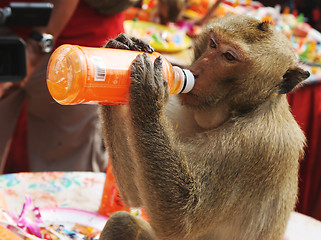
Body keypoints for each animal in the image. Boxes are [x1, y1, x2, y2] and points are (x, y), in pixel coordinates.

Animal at [98, 15, 310, 240]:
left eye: (229, 56)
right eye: (213, 44)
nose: (197, 72)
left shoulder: (261, 143)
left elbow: (179, 221)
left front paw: (149, 95)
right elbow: (134, 193)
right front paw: (123, 47)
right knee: (123, 222)